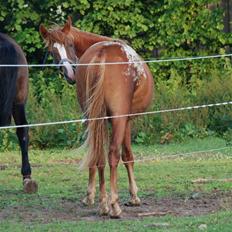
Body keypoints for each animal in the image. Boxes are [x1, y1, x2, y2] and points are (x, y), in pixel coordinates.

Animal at [40, 16, 154, 218]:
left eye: (69, 44)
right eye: (52, 51)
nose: (69, 73)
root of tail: (102, 55)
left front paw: (89, 196)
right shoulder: (126, 120)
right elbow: (127, 156)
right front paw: (134, 196)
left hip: (94, 118)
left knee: (98, 155)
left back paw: (102, 204)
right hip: (118, 119)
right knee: (112, 154)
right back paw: (113, 205)